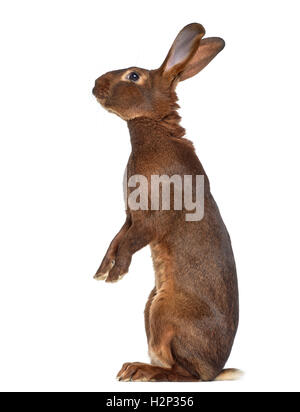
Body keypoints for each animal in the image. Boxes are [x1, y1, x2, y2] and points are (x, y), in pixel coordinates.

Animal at [92, 23, 240, 384]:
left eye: (133, 76)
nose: (95, 84)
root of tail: (217, 369)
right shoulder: (130, 216)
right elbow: (117, 239)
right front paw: (102, 272)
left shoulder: (151, 218)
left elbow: (130, 242)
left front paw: (116, 276)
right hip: (151, 306)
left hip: (164, 311)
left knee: (185, 374)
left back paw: (139, 370)